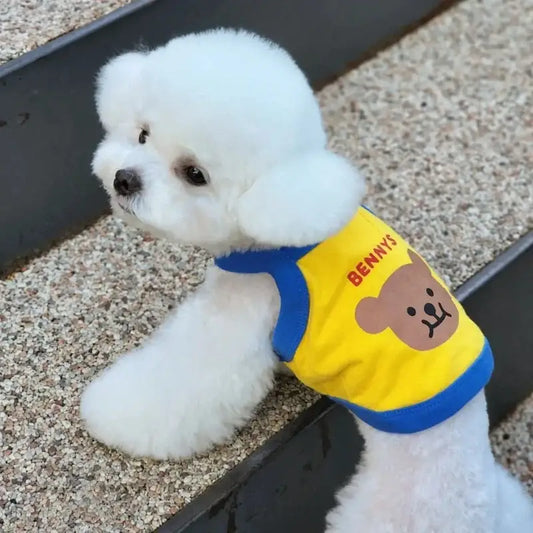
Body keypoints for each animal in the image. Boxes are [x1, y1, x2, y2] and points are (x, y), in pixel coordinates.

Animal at [83, 30, 528, 532]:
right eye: (142, 134)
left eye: (195, 174)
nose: (124, 179)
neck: (274, 229)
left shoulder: (242, 312)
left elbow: (185, 376)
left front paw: (110, 411)